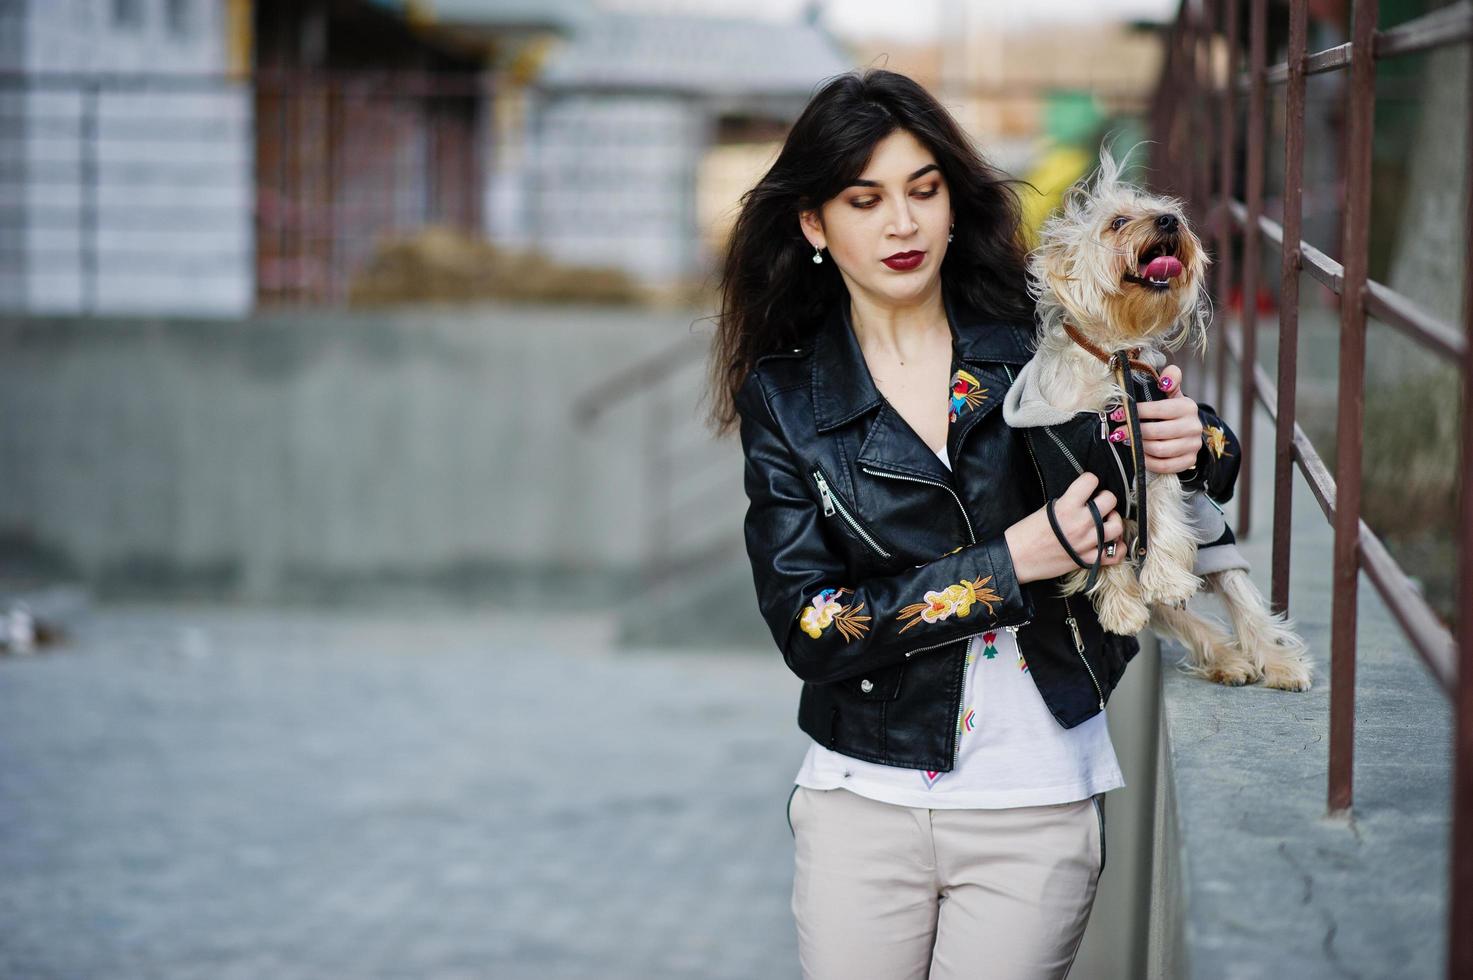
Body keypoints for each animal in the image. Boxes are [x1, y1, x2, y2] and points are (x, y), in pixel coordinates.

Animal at [1001, 148, 1313, 692]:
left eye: (1169, 213)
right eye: (1117, 222)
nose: (1169, 221)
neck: (1112, 359)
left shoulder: (1155, 455)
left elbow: (1164, 516)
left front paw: (1164, 577)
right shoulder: (1073, 483)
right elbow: (1101, 545)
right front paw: (1122, 609)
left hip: (1215, 540)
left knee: (1243, 604)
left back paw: (1275, 664)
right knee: (1191, 620)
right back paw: (1227, 660)